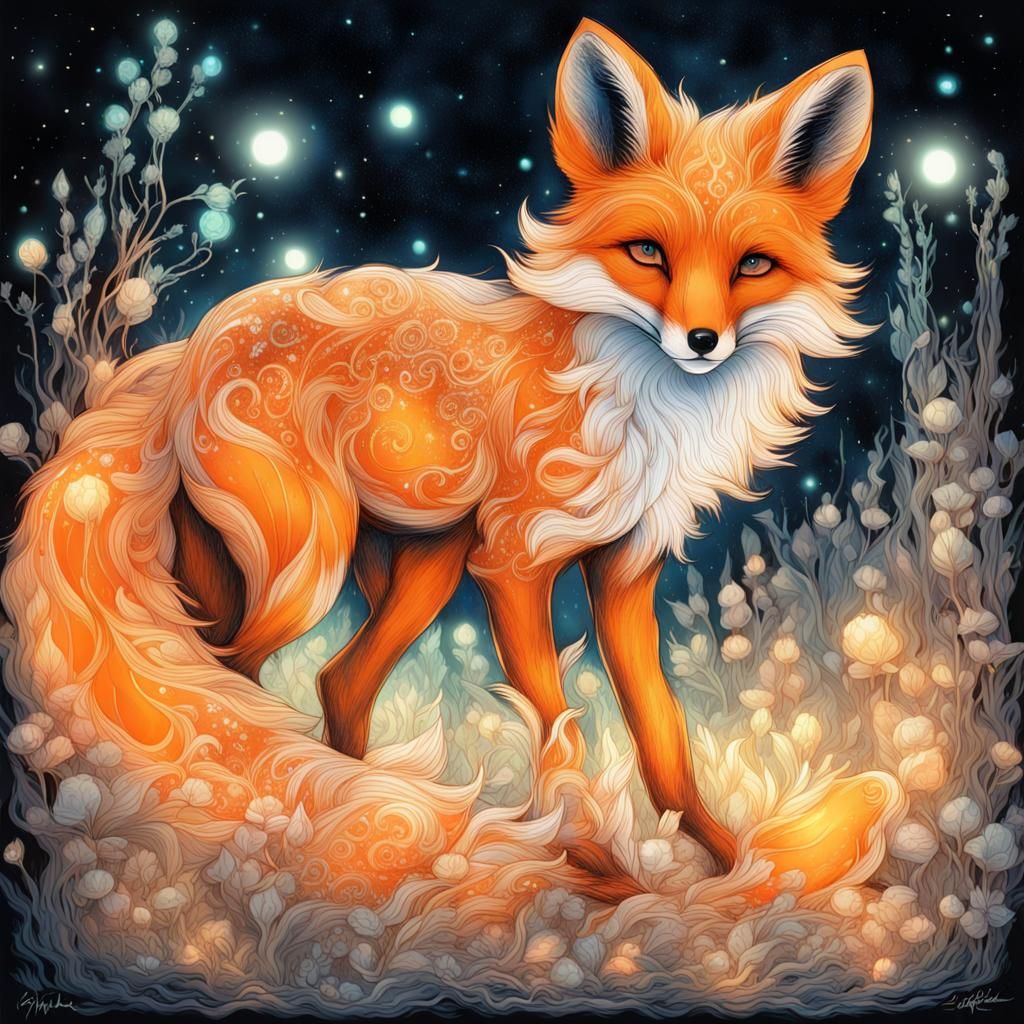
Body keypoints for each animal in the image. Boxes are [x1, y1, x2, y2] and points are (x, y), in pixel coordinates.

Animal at [3, 21, 878, 894]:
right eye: (646, 253)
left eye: (752, 265)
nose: (701, 341)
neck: (640, 405)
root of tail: (185, 351)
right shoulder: (516, 564)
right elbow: (559, 731)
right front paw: (596, 860)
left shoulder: (627, 570)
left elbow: (664, 738)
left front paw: (730, 865)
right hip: (310, 564)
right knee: (234, 676)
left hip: (419, 559)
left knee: (333, 682)